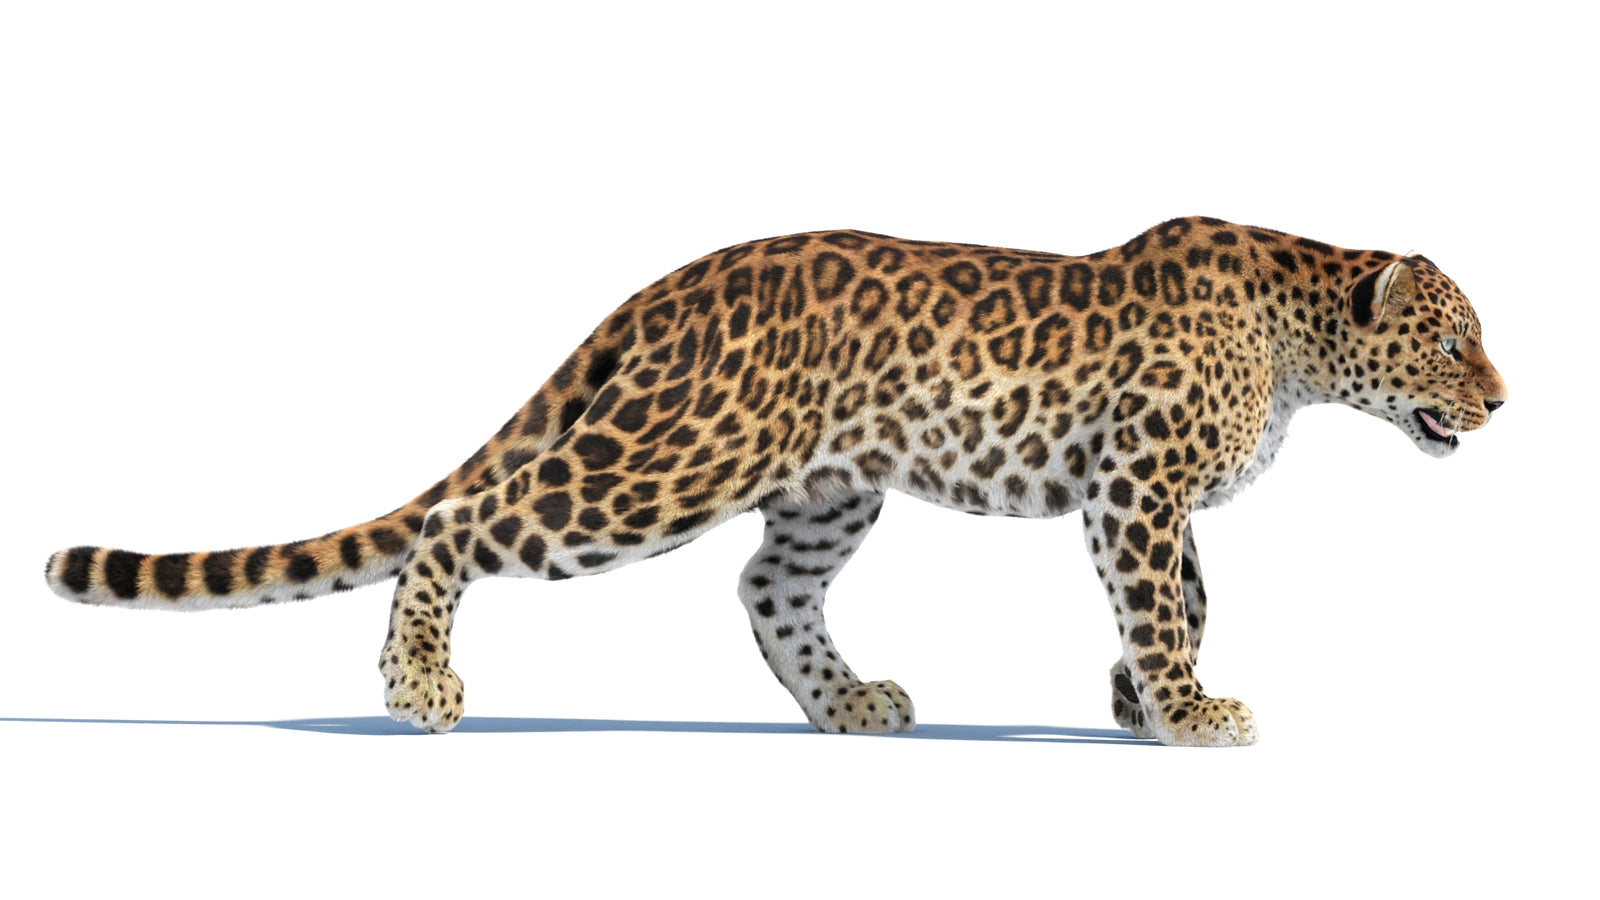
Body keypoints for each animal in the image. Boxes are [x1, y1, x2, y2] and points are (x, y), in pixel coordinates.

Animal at [44, 217, 1507, 746]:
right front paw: (1191, 715)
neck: (1302, 340)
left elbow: (1186, 605)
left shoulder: (1144, 497)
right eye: (1452, 341)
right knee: (463, 522)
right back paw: (419, 690)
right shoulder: (1139, 485)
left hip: (825, 488)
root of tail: (677, 281)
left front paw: (1139, 704)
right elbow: (1163, 605)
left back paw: (850, 705)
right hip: (670, 461)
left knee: (767, 590)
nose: (1503, 400)